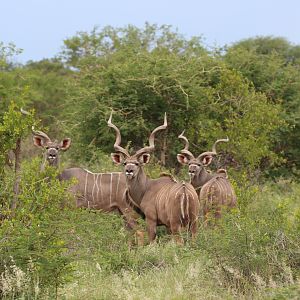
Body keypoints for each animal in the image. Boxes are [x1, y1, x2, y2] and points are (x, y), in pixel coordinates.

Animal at [108, 112, 199, 241]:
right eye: (125, 163)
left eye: (137, 163)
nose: (129, 171)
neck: (146, 188)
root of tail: (185, 192)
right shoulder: (167, 225)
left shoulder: (151, 219)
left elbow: (151, 240)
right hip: (193, 222)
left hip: (176, 223)